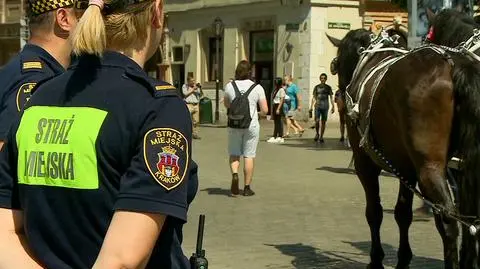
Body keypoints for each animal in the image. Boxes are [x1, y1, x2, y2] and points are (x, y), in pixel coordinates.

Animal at [328, 8, 480, 268]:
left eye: (336, 65)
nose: (340, 95)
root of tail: (453, 65)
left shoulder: (365, 164)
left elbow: (374, 211)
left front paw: (376, 258)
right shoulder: (405, 167)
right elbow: (402, 214)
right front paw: (402, 259)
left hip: (430, 167)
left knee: (448, 219)